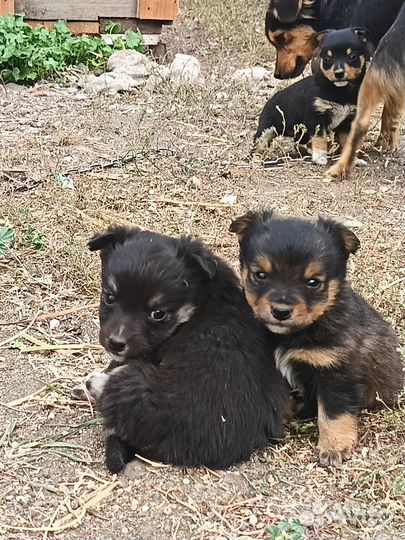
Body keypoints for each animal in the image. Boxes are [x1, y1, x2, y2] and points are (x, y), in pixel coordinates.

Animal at [229, 209, 402, 466]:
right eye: (260, 275)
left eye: (313, 282)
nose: (281, 312)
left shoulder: (336, 371)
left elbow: (333, 412)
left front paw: (333, 448)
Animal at [254, 29, 368, 165]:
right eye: (327, 59)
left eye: (352, 57)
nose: (339, 73)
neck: (340, 90)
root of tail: (270, 100)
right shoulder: (316, 117)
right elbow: (320, 139)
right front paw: (320, 158)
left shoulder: (348, 121)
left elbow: (348, 143)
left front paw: (354, 160)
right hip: (267, 129)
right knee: (258, 145)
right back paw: (256, 160)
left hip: (302, 133)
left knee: (298, 144)